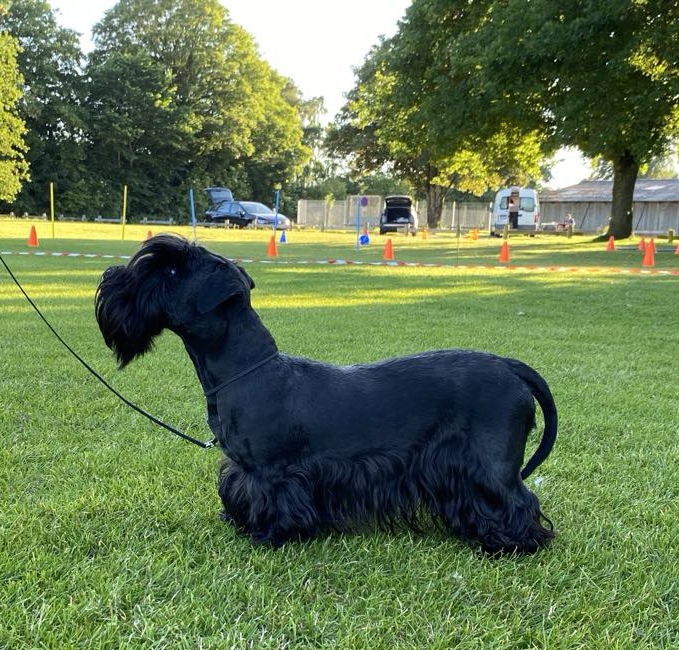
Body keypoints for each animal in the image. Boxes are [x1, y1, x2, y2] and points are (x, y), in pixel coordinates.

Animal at [97, 234, 564, 552]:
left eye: (172, 271)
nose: (106, 277)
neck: (246, 370)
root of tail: (509, 364)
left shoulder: (273, 473)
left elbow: (274, 503)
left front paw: (269, 535)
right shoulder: (243, 469)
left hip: (490, 465)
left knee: (516, 500)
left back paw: (513, 543)